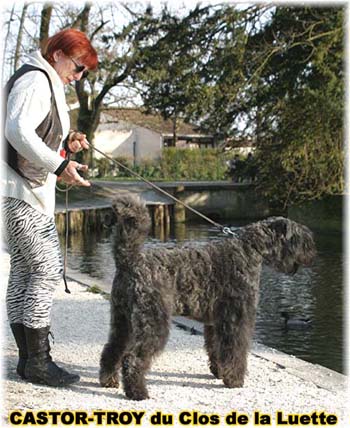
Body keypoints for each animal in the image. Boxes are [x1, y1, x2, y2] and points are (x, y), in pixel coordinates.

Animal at [99, 194, 318, 402]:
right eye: (301, 239)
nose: (312, 255)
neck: (250, 250)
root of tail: (129, 260)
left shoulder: (215, 322)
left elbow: (217, 349)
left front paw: (220, 372)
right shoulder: (237, 319)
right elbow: (235, 350)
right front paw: (235, 380)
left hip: (123, 321)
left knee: (112, 349)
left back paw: (108, 380)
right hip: (152, 322)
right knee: (133, 358)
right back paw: (138, 393)